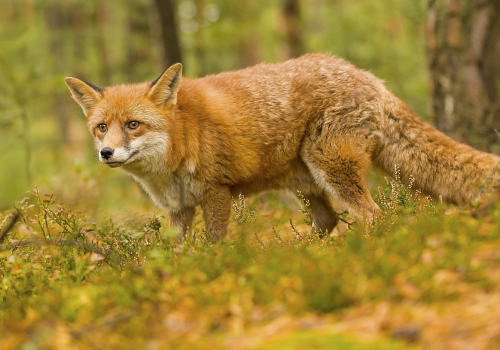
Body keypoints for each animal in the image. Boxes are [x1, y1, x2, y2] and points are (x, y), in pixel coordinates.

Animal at [65, 53, 496, 242]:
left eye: (133, 125)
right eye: (101, 128)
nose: (106, 153)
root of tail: (367, 75)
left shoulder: (217, 193)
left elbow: (214, 245)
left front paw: (215, 274)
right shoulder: (179, 209)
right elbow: (177, 254)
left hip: (332, 167)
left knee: (374, 215)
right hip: (306, 185)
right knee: (330, 222)